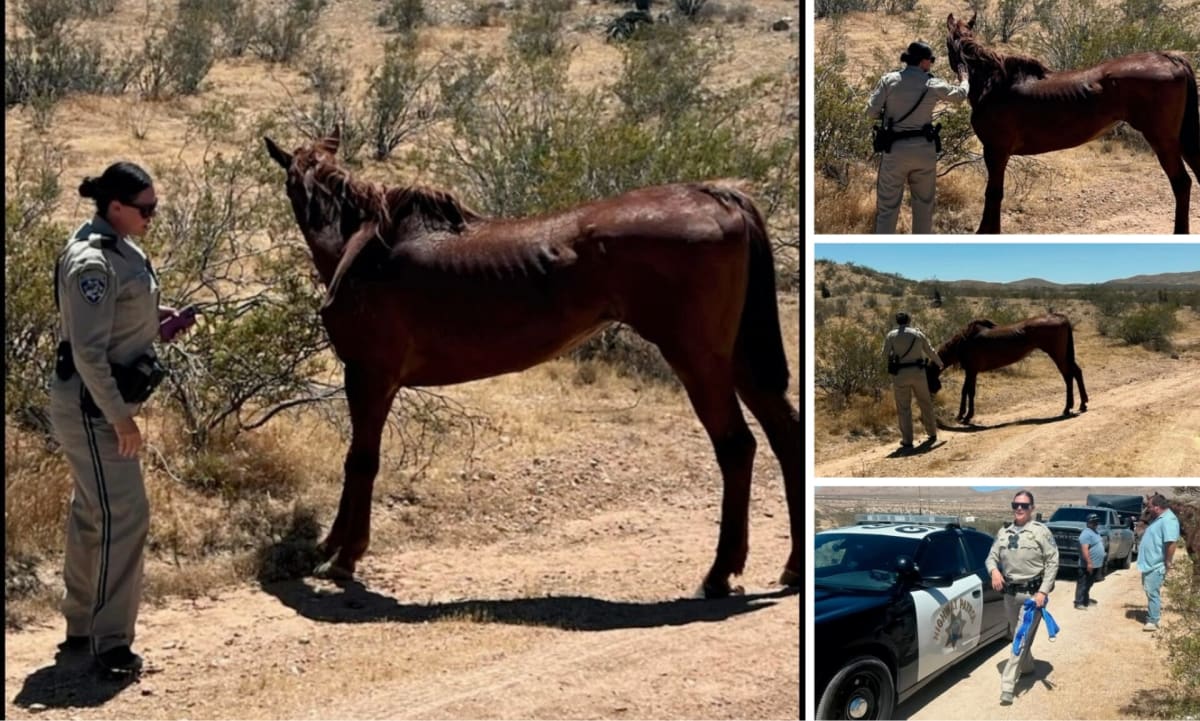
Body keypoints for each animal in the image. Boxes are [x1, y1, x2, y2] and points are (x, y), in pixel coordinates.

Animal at [262, 130, 800, 598]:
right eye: (295, 179)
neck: (365, 248)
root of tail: (715, 195)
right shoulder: (372, 380)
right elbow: (355, 461)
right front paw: (330, 545)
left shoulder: (369, 376)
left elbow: (361, 460)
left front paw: (345, 556)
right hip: (738, 359)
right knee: (785, 436)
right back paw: (792, 568)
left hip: (698, 359)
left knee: (736, 447)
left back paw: (719, 573)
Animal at [925, 313, 1087, 423]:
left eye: (927, 376)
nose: (932, 394)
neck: (964, 341)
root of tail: (1060, 317)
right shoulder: (972, 372)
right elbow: (968, 391)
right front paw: (964, 415)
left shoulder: (971, 371)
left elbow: (968, 392)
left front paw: (965, 416)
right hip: (1065, 356)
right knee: (1076, 372)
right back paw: (1082, 404)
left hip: (1058, 356)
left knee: (1068, 376)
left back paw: (1067, 408)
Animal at [945, 13, 1200, 234]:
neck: (995, 85)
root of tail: (1169, 58)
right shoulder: (998, 152)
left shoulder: (995, 151)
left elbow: (993, 193)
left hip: (1162, 140)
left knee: (1181, 183)